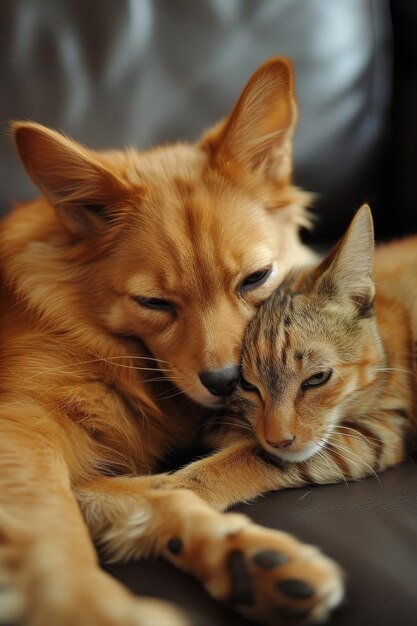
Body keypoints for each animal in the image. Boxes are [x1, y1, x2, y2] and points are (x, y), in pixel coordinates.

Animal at [0, 58, 342, 624]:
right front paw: (85, 603)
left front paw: (246, 558)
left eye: (256, 278)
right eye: (154, 303)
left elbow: (163, 493)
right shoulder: (22, 427)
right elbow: (52, 533)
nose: (227, 383)